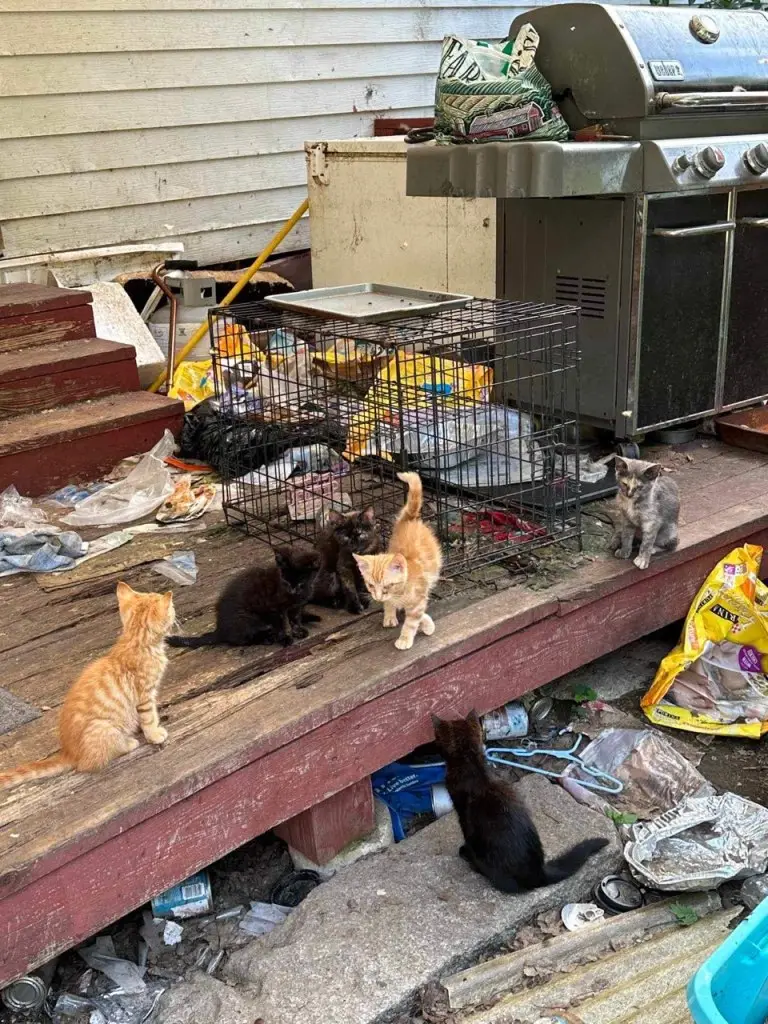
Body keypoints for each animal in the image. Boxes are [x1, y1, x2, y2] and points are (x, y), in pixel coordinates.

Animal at [0, 581, 174, 786]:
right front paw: (154, 734)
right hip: (103, 727)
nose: (174, 612)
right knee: (88, 763)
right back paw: (127, 743)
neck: (136, 642)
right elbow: (149, 717)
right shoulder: (145, 694)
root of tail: (69, 752)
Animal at [167, 544, 321, 647]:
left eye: (301, 581)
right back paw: (266, 638)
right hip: (248, 619)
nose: (292, 589)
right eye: (285, 579)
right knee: (242, 640)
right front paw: (286, 638)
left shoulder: (296, 607)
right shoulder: (275, 608)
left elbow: (295, 619)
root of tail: (219, 630)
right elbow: (282, 625)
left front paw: (298, 631)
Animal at [354, 468, 442, 647]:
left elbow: (413, 619)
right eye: (370, 585)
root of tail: (410, 518)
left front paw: (406, 638)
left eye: (388, 585)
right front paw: (390, 614)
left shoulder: (419, 598)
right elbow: (400, 607)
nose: (377, 597)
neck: (400, 592)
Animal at [436, 708, 610, 892]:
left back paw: (473, 862)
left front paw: (464, 850)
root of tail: (539, 873)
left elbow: (466, 834)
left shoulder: (462, 812)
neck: (472, 765)